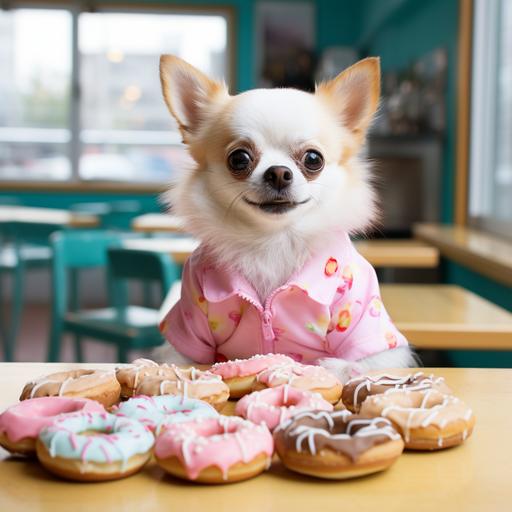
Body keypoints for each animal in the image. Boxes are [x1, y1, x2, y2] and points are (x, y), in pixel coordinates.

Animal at [156, 54, 416, 382]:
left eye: (313, 159)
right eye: (239, 159)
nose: (278, 173)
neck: (272, 241)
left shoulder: (373, 329)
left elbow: (370, 360)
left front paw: (341, 368)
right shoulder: (191, 317)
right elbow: (178, 358)